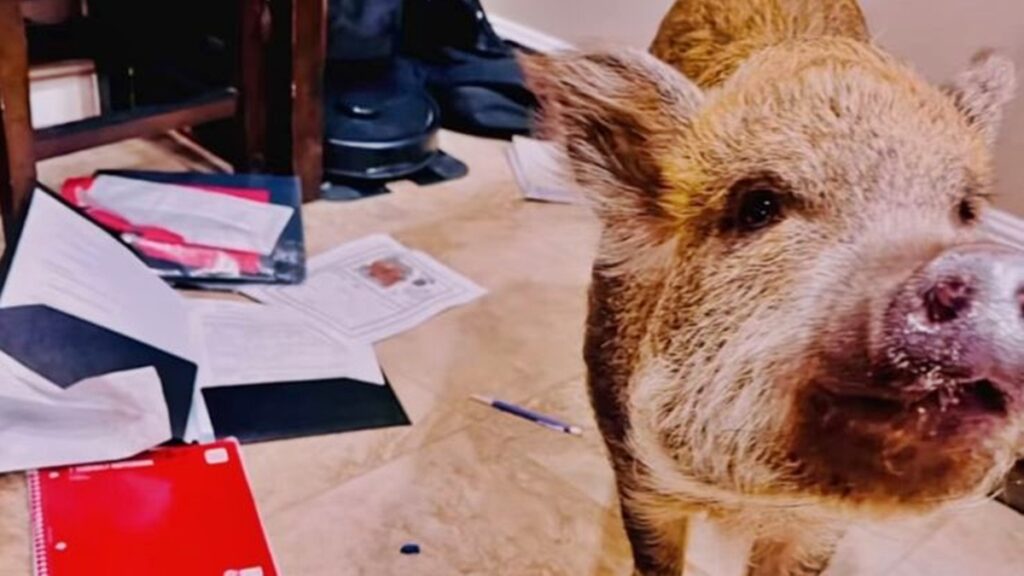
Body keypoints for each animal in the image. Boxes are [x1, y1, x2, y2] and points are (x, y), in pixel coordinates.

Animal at [519, 0, 1022, 574]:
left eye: (964, 210)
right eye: (758, 205)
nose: (983, 267)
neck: (748, 497)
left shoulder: (819, 524)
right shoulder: (638, 476)